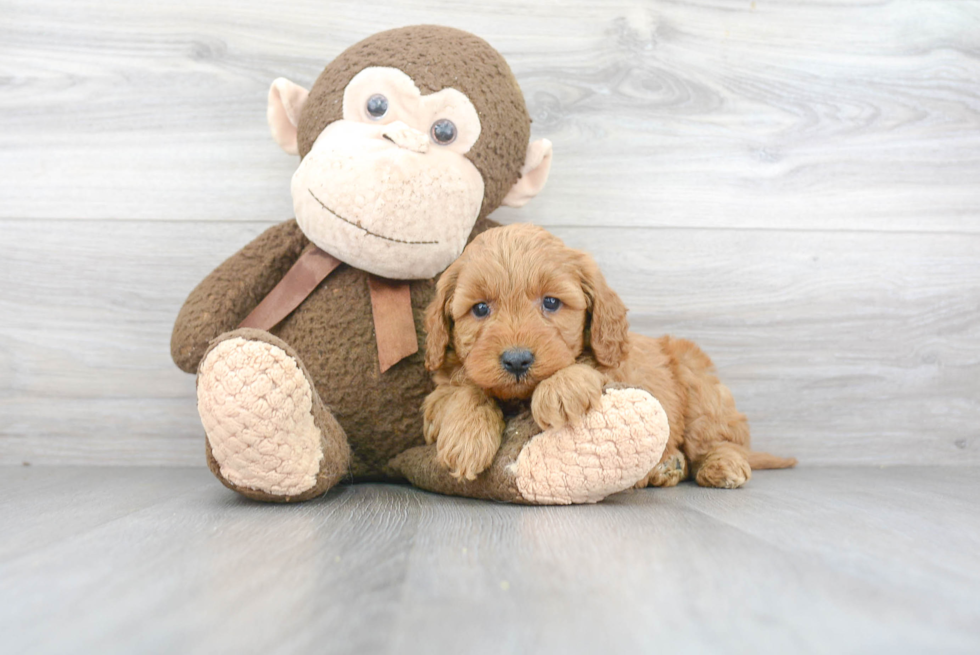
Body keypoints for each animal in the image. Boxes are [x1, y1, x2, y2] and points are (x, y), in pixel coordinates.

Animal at [424, 224, 796, 486]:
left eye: (551, 302)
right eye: (480, 309)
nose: (517, 360)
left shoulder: (619, 368)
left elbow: (591, 368)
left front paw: (561, 389)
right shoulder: (438, 391)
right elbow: (462, 391)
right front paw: (466, 437)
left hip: (699, 387)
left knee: (720, 439)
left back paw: (721, 464)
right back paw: (667, 466)